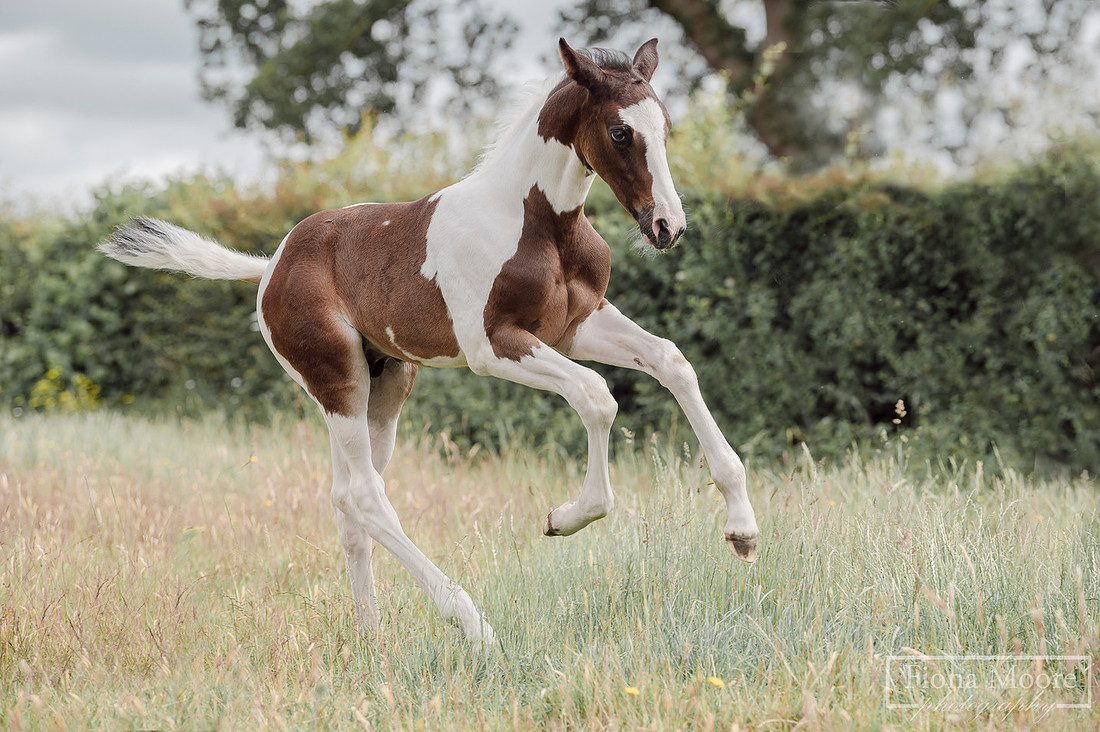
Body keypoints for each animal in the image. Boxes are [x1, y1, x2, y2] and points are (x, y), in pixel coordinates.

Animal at [99, 38, 760, 649]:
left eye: (666, 128)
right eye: (621, 132)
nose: (667, 227)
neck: (539, 224)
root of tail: (270, 266)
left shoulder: (579, 325)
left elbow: (672, 361)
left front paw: (743, 529)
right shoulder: (494, 347)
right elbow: (597, 396)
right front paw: (566, 517)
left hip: (383, 387)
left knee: (348, 500)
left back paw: (371, 639)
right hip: (335, 380)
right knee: (365, 495)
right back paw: (474, 626)